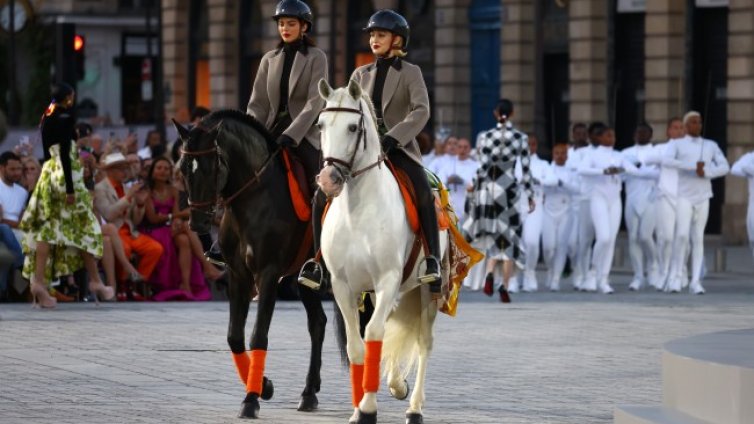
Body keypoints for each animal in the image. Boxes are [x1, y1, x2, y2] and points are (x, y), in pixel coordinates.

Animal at [175, 109, 324, 418]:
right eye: (183, 167)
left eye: (211, 166)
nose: (197, 224)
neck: (254, 196)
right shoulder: (237, 274)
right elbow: (234, 336)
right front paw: (263, 386)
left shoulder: (268, 274)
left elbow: (258, 335)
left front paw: (251, 399)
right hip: (305, 279)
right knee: (318, 324)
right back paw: (308, 393)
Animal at [314, 77, 444, 424]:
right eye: (320, 125)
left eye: (352, 127)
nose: (328, 180)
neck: (358, 210)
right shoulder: (343, 285)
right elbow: (356, 346)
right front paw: (359, 408)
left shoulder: (387, 280)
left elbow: (373, 334)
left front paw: (368, 408)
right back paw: (397, 384)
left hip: (427, 292)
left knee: (424, 342)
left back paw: (414, 407)